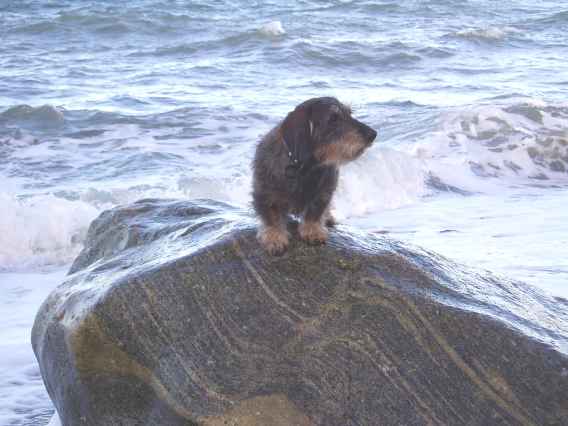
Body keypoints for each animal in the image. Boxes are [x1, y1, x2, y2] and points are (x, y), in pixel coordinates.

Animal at [253, 96, 378, 255]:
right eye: (333, 118)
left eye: (350, 113)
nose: (373, 134)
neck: (304, 167)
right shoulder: (265, 194)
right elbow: (271, 217)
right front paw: (274, 237)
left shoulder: (324, 193)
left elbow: (315, 212)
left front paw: (313, 231)